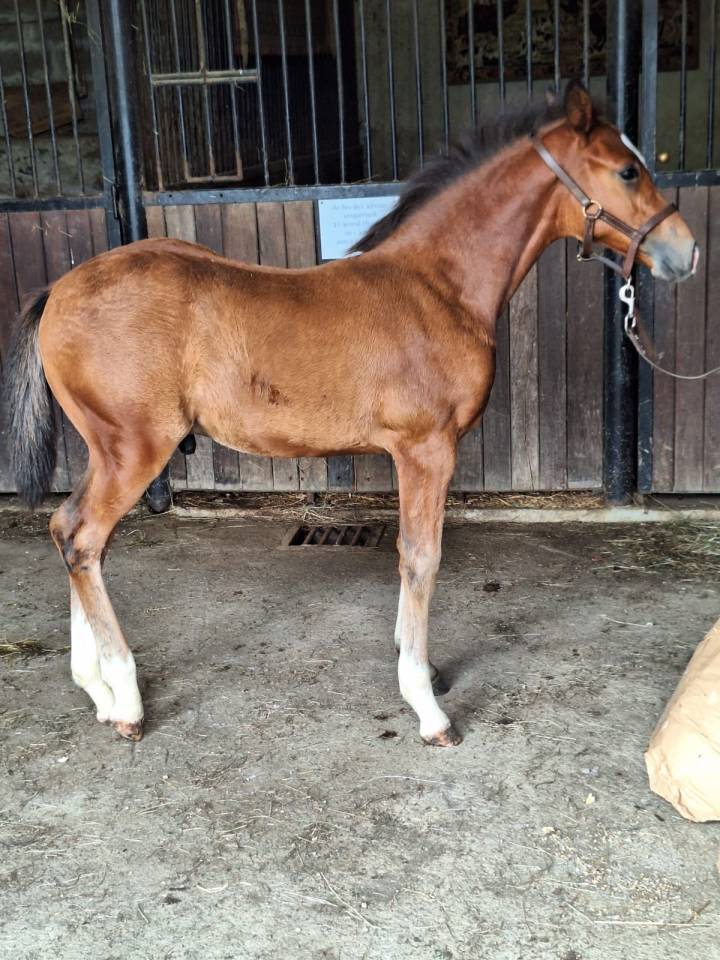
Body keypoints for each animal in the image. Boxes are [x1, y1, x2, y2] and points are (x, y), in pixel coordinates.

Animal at [5, 81, 697, 747]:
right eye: (628, 171)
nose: (685, 253)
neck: (437, 288)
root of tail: (57, 292)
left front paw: (419, 665)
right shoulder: (426, 448)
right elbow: (422, 556)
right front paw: (427, 706)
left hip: (106, 449)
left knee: (69, 532)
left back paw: (95, 690)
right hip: (136, 448)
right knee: (84, 538)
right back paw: (125, 700)